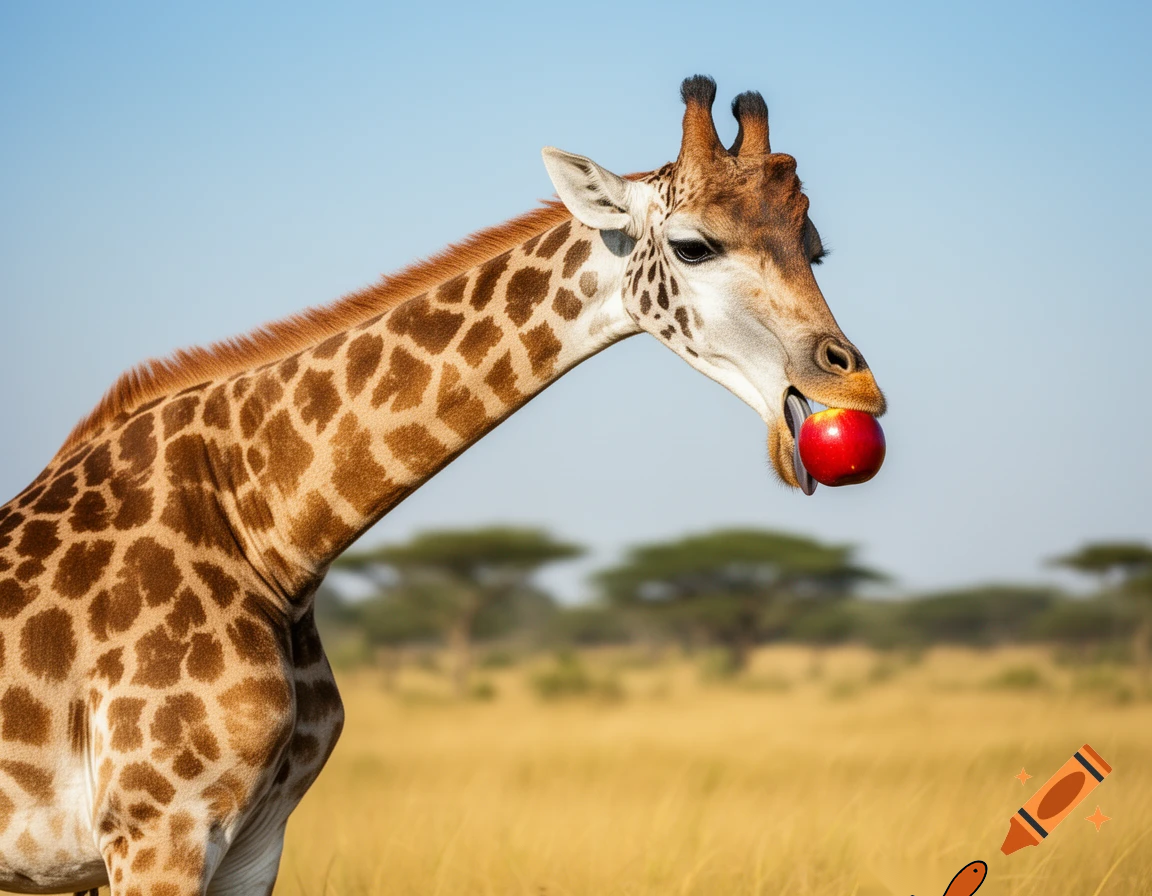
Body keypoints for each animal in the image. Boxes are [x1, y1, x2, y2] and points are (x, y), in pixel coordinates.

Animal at [0, 76, 885, 896]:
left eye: (815, 249)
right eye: (696, 246)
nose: (858, 385)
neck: (265, 533)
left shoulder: (253, 839)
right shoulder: (159, 827)